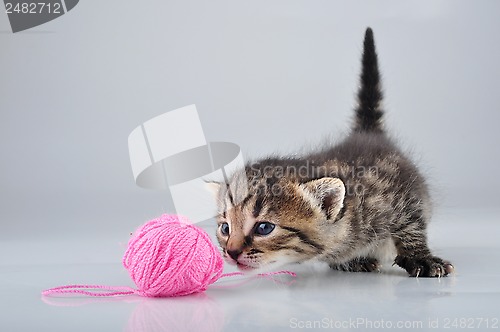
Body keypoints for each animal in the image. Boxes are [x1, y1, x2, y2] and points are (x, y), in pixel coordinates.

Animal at [207, 27, 454, 278]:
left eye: (264, 227)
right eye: (225, 228)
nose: (231, 252)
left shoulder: (404, 194)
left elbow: (411, 226)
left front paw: (421, 258)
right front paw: (352, 260)